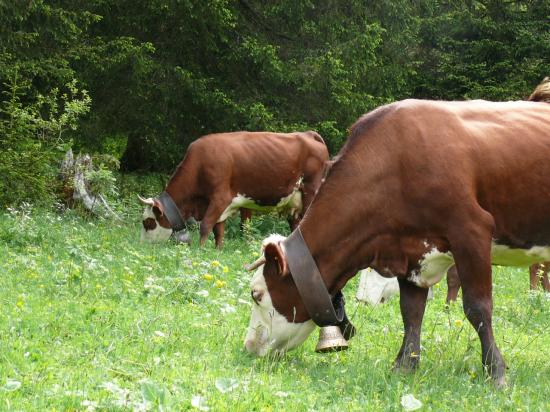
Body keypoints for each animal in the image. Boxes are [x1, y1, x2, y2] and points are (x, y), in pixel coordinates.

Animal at [140, 131, 330, 248]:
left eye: (148, 222)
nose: (143, 245)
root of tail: (308, 134)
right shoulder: (221, 205)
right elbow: (218, 230)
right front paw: (217, 250)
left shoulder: (219, 198)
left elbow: (206, 225)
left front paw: (200, 250)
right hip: (293, 200)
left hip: (311, 191)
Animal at [245, 97, 550, 386]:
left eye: (256, 294)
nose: (249, 346)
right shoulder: (409, 250)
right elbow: (411, 312)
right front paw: (404, 366)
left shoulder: (471, 231)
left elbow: (478, 307)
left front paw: (495, 372)